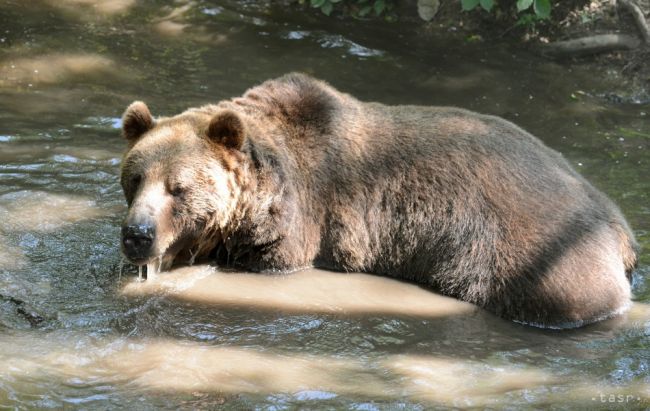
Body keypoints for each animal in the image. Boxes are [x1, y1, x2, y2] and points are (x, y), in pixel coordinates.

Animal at [119, 71, 636, 328]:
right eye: (135, 178)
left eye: (178, 187)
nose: (136, 234)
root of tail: (618, 223)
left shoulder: (294, 228)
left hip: (534, 259)